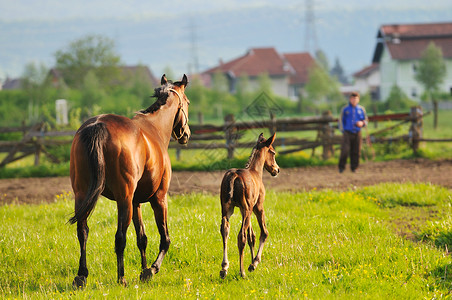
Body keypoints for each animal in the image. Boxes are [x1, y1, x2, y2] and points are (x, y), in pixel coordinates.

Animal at [68, 74, 191, 288]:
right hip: (123, 199)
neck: (155, 128)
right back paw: (121, 278)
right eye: (188, 103)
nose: (186, 134)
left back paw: (81, 276)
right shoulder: (159, 199)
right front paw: (151, 269)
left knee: (82, 231)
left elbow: (142, 238)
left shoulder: (136, 202)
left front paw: (143, 270)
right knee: (120, 237)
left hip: (83, 195)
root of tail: (98, 125)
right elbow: (164, 238)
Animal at [219, 132, 278, 278]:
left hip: (227, 209)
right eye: (273, 152)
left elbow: (252, 236)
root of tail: (234, 175)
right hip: (247, 210)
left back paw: (224, 268)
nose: (277, 169)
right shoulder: (257, 207)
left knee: (225, 230)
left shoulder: (243, 209)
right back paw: (242, 272)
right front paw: (254, 263)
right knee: (241, 236)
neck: (255, 171)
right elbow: (263, 232)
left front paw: (252, 260)